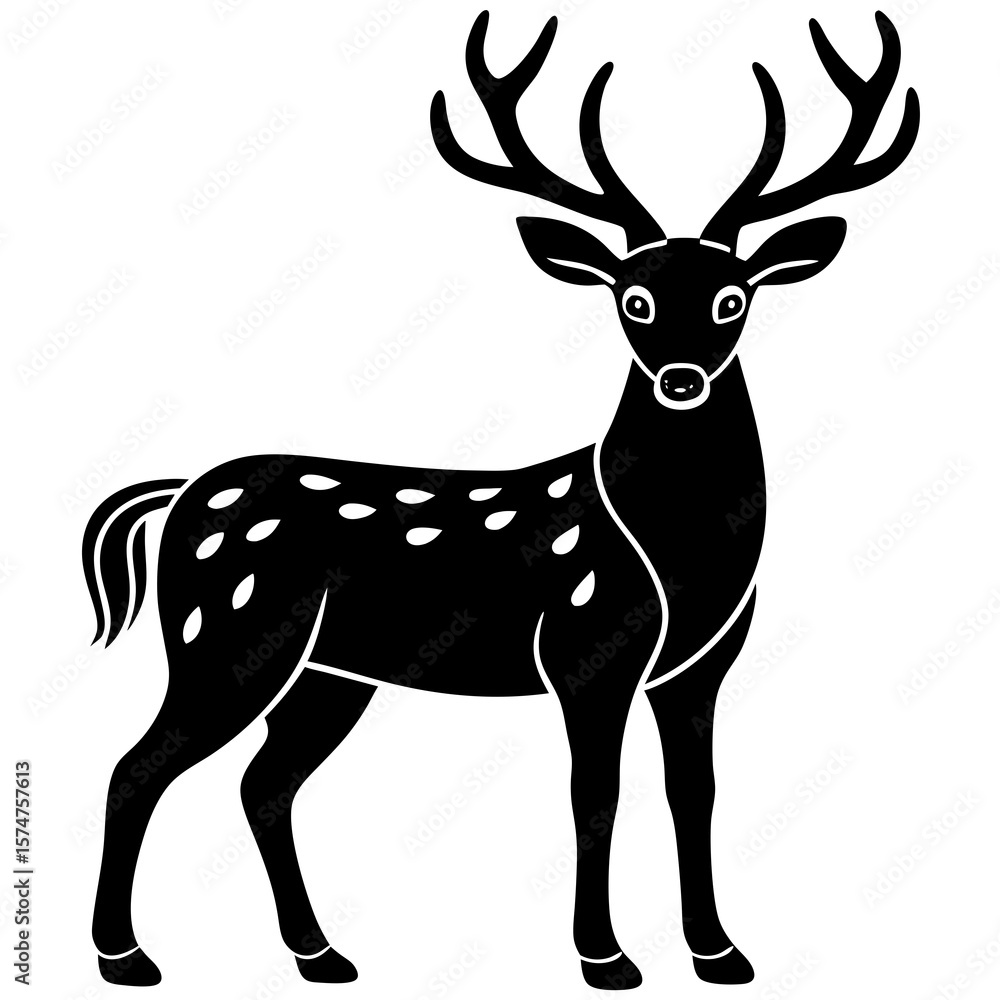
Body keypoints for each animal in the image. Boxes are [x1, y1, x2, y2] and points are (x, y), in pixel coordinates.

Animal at [85, 9, 918, 991]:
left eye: (731, 299)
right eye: (633, 299)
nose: (680, 379)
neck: (680, 556)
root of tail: (177, 496)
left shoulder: (700, 668)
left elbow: (696, 793)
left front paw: (719, 954)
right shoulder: (585, 647)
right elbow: (595, 795)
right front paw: (606, 960)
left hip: (326, 673)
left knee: (264, 783)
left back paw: (321, 955)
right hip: (222, 637)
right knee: (137, 767)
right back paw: (126, 957)